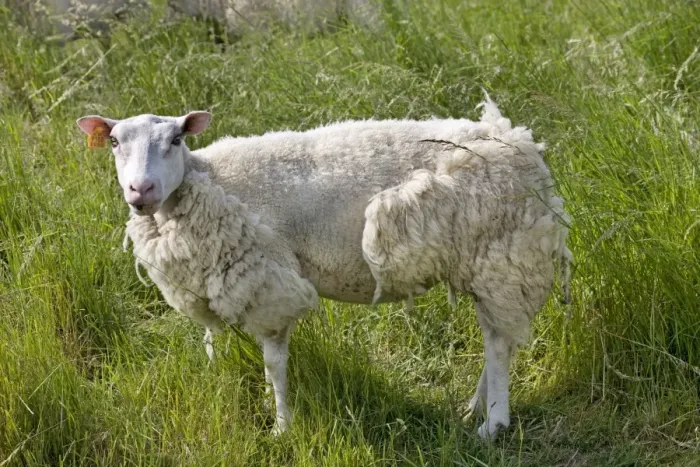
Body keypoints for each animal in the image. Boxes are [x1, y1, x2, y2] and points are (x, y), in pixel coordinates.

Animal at [76, 94, 572, 439]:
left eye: (176, 139)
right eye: (114, 142)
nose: (140, 190)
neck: (208, 179)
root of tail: (523, 144)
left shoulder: (268, 283)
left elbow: (274, 363)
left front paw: (282, 426)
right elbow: (211, 342)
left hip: (502, 253)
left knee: (498, 343)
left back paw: (494, 423)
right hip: (485, 261)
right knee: (498, 333)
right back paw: (474, 408)